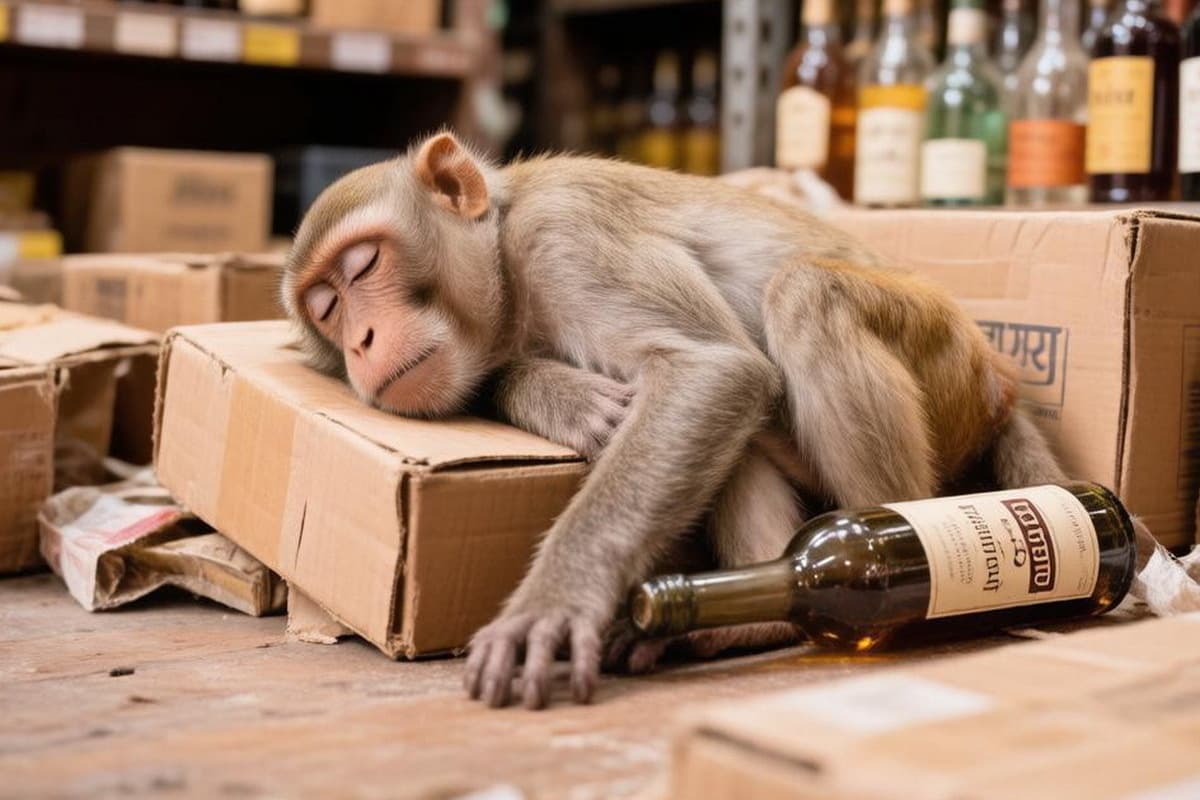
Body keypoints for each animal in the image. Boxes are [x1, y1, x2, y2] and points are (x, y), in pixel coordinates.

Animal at [281, 131, 1066, 710]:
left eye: (363, 266)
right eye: (326, 310)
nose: (361, 343)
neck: (507, 253)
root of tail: (999, 383)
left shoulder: (567, 234)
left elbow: (714, 369)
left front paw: (556, 599)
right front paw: (557, 395)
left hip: (944, 363)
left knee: (806, 297)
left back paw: (886, 571)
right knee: (745, 432)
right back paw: (762, 611)